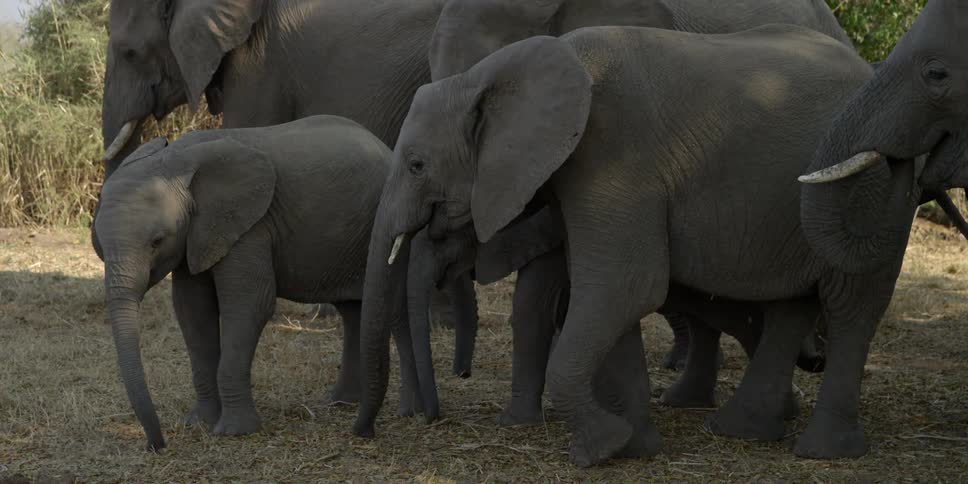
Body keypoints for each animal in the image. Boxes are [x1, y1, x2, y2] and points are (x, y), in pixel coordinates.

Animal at [92, 115, 428, 450]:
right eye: (100, 247)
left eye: (157, 241)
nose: (157, 445)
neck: (175, 159)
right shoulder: (196, 235)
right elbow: (192, 311)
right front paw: (199, 423)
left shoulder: (250, 227)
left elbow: (249, 305)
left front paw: (234, 432)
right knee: (352, 310)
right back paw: (341, 403)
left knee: (393, 310)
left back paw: (410, 411)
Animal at [352, 24, 897, 466]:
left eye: (417, 165)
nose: (369, 432)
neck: (491, 73)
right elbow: (607, 295)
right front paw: (634, 449)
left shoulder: (613, 155)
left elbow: (623, 288)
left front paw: (599, 449)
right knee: (789, 304)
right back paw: (745, 431)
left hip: (867, 190)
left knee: (852, 306)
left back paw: (825, 451)